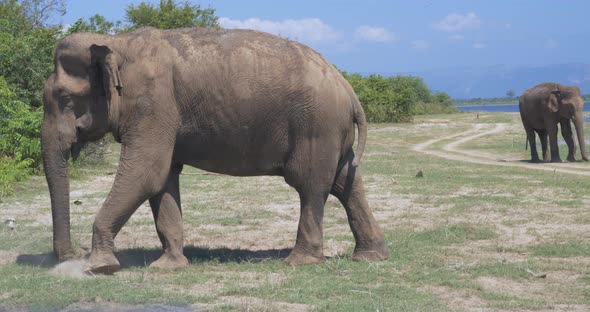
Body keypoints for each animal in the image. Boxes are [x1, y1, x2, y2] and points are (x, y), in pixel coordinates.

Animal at [42, 27, 394, 272]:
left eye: (65, 99)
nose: (72, 254)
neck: (117, 43)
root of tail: (348, 88)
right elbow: (163, 180)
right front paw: (168, 266)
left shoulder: (153, 105)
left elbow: (146, 174)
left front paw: (100, 266)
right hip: (331, 131)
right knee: (346, 182)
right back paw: (370, 257)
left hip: (316, 126)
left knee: (311, 186)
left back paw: (300, 262)